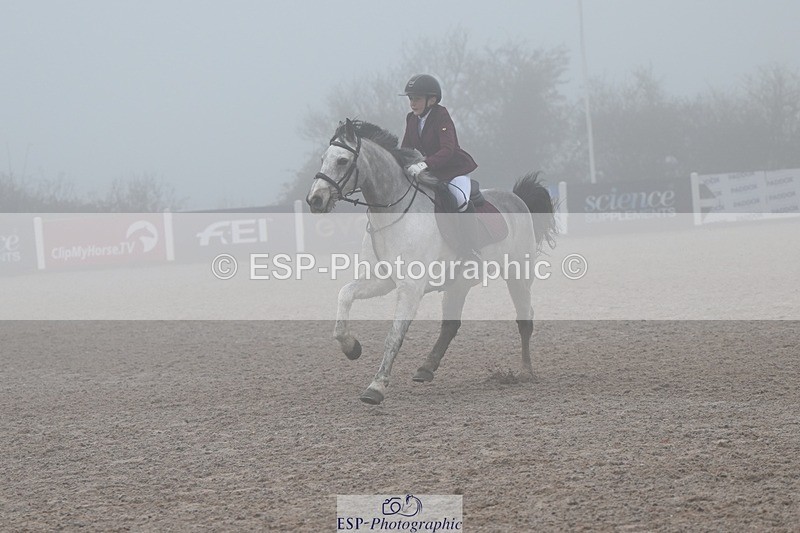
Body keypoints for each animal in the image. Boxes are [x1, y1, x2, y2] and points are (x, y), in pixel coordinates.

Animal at [306, 119, 557, 405]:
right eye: (324, 158)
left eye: (342, 161)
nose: (315, 200)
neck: (391, 214)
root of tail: (518, 199)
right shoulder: (382, 280)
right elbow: (344, 296)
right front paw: (352, 348)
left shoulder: (411, 288)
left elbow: (394, 336)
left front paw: (376, 386)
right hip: (460, 283)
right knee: (450, 325)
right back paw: (426, 368)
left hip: (518, 274)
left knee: (525, 319)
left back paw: (525, 371)